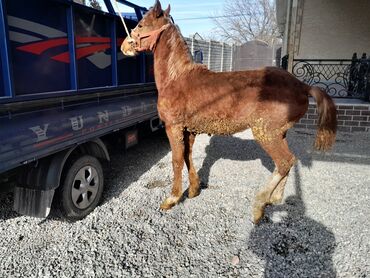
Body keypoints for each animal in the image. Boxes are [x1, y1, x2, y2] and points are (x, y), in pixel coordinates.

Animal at [121, 0, 336, 222]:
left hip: (266, 133)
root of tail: (302, 86)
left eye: (140, 24)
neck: (177, 77)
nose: (124, 46)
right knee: (287, 162)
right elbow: (188, 157)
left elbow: (177, 160)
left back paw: (260, 205)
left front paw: (172, 198)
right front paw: (194, 190)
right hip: (278, 133)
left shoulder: (174, 127)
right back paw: (275, 199)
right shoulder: (189, 130)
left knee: (285, 162)